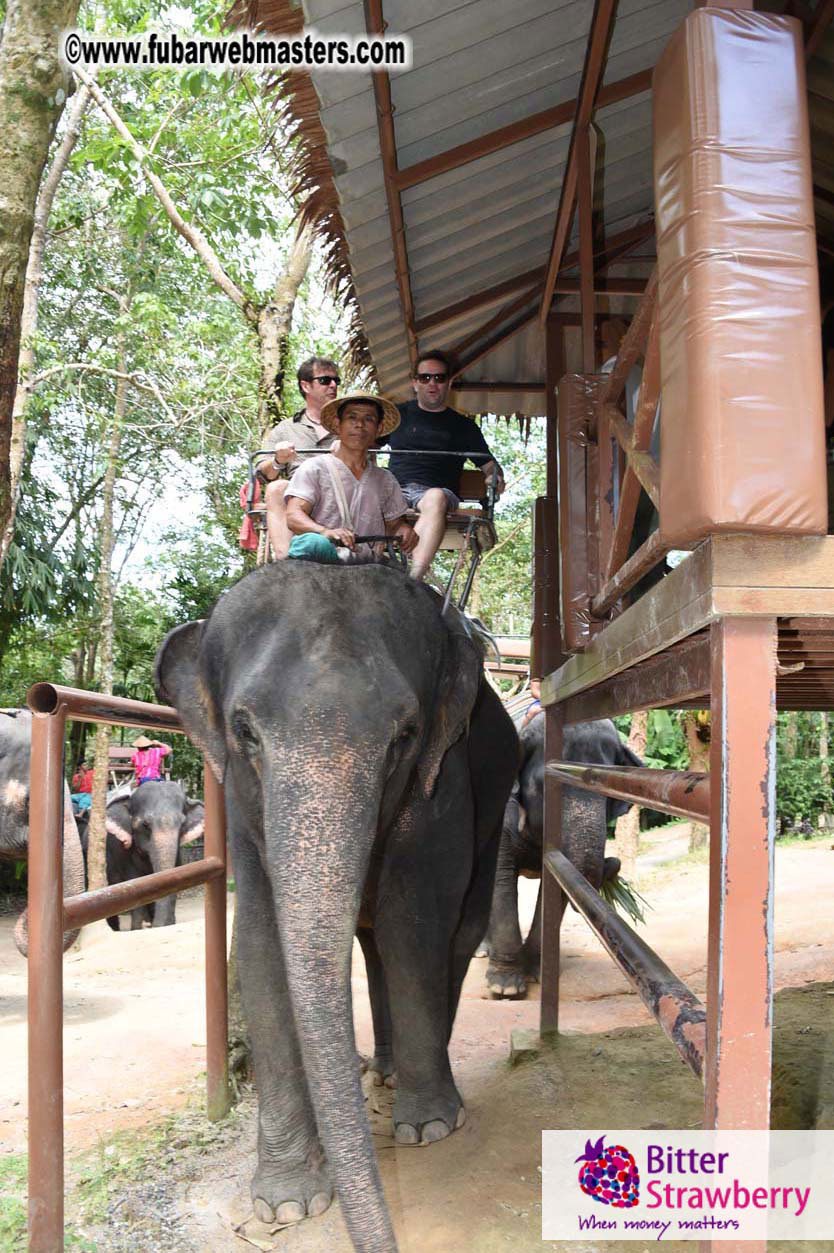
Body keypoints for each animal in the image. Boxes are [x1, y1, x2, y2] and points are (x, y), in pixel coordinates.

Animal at [103, 781, 204, 929]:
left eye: (182, 824)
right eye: (145, 824)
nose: (155, 925)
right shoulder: (123, 854)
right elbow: (134, 884)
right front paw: (137, 928)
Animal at [155, 560, 518, 1253]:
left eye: (405, 735)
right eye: (244, 732)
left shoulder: (441, 778)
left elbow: (414, 923)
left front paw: (429, 1130)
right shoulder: (242, 807)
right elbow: (260, 945)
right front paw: (286, 1204)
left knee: (456, 932)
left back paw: (420, 1082)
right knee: (372, 947)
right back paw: (384, 1071)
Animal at [484, 712, 642, 999]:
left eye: (608, 790)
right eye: (546, 786)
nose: (613, 864)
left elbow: (555, 887)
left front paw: (537, 972)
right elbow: (501, 880)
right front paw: (505, 988)